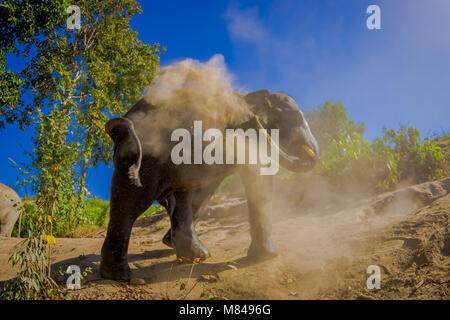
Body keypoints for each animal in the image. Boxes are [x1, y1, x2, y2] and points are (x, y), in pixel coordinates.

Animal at [100, 89, 318, 280]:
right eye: (296, 117)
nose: (255, 121)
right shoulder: (247, 136)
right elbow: (259, 175)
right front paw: (268, 256)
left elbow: (205, 191)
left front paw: (170, 243)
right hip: (149, 154)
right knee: (133, 201)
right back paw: (121, 276)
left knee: (181, 196)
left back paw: (195, 255)